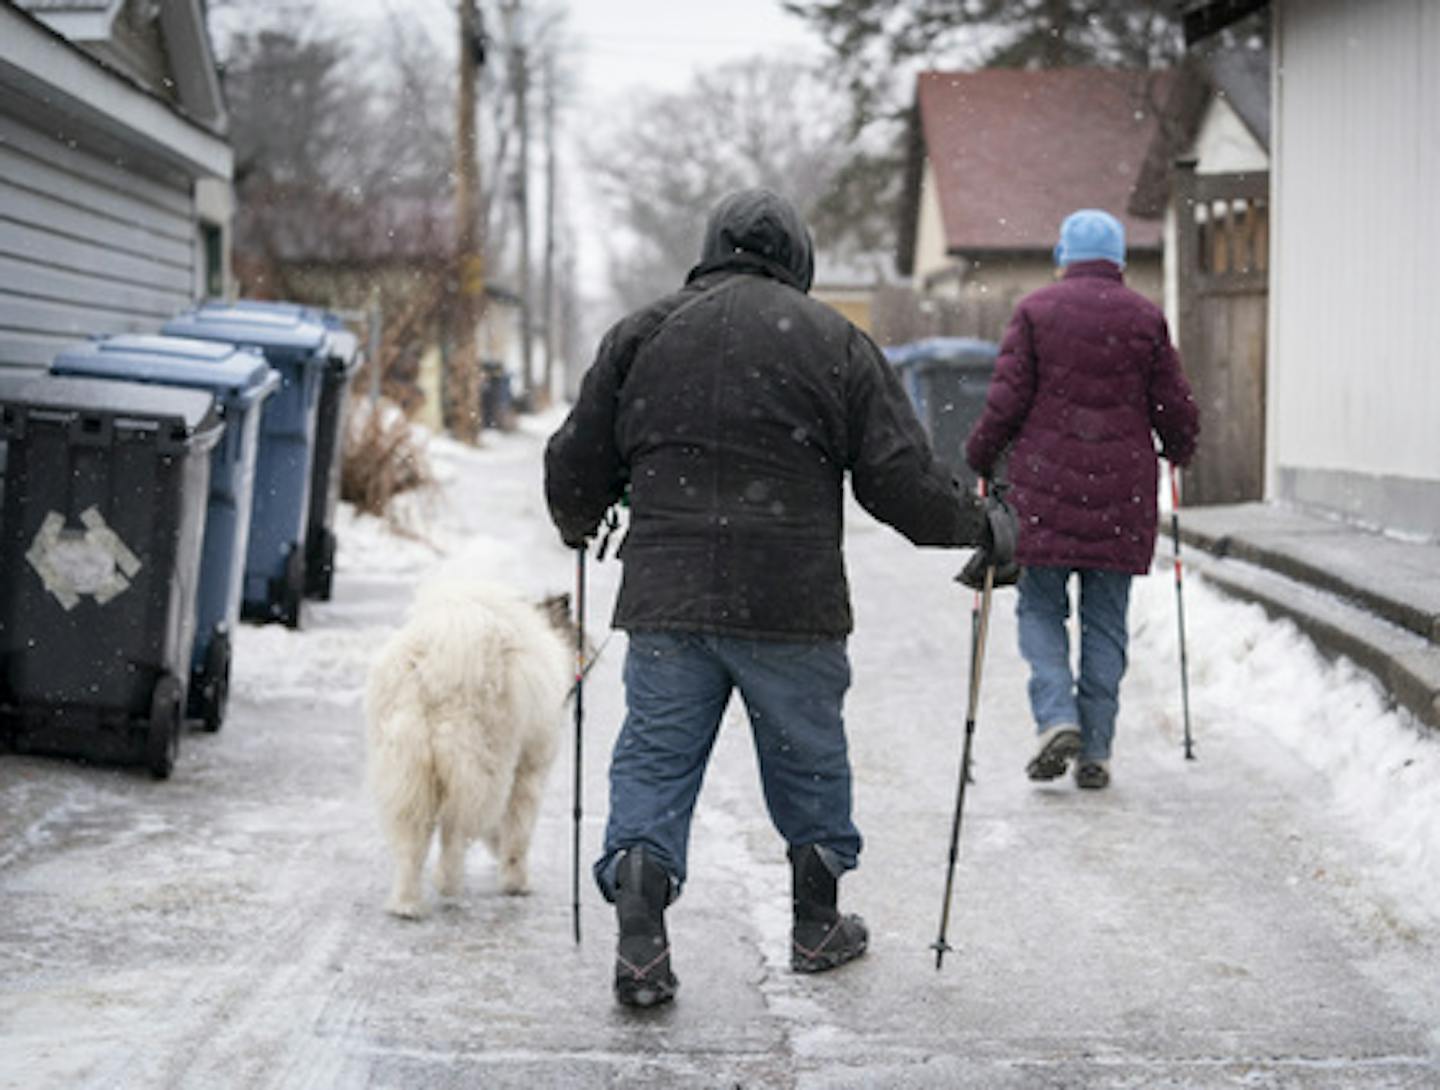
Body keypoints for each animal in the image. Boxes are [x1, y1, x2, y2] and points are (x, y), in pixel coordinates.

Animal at [362, 578, 570, 915]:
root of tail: (434, 662)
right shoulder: (528, 772)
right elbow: (518, 831)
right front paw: (516, 882)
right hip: (483, 763)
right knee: (455, 830)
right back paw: (448, 883)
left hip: (407, 764)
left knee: (412, 841)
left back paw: (406, 904)